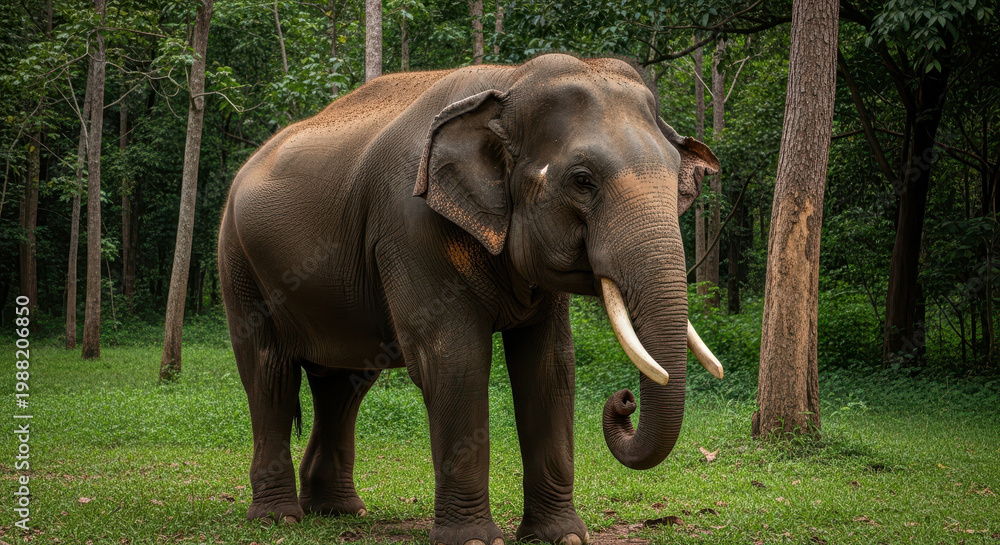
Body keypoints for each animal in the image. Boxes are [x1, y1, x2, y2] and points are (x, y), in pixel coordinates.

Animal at [218, 53, 724, 545]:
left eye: (675, 177)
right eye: (583, 181)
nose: (624, 400)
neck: (508, 82)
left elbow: (550, 366)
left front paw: (562, 537)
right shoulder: (410, 228)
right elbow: (453, 360)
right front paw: (477, 541)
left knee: (343, 383)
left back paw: (340, 511)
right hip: (239, 264)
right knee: (270, 372)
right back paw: (278, 519)